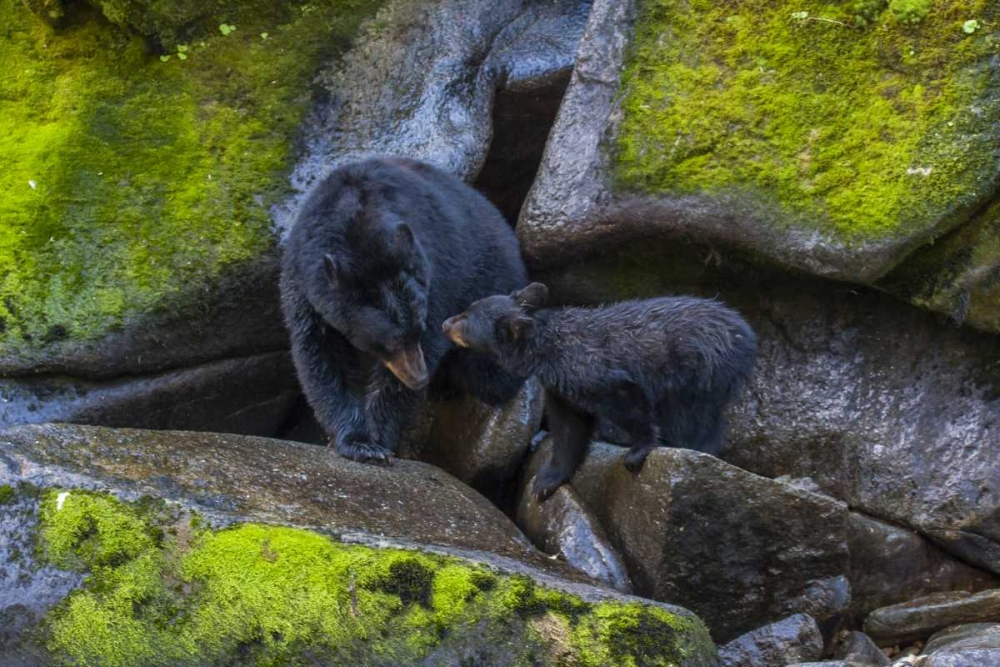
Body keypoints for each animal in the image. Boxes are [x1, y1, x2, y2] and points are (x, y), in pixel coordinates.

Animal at [280, 157, 529, 463]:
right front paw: (358, 441)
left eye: (418, 330)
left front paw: (378, 438)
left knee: (488, 375)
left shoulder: (437, 273)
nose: (419, 378)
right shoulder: (303, 286)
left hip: (491, 284)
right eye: (388, 342)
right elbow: (320, 355)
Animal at [441, 283, 757, 500]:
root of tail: (746, 333)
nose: (444, 323)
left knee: (693, 419)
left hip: (700, 372)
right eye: (467, 308)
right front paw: (546, 482)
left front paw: (638, 451)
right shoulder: (562, 390)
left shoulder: (596, 373)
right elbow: (569, 430)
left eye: (466, 319)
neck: (549, 353)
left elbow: (628, 403)